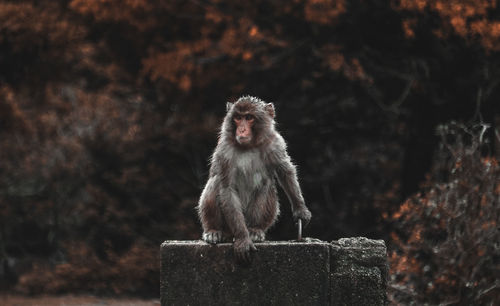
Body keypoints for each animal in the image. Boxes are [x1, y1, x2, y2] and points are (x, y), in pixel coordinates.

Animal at [196, 96, 310, 262]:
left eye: (249, 117)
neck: (248, 146)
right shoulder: (224, 150)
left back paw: (255, 230)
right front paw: (243, 239)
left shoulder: (275, 143)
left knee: (266, 186)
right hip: (229, 225)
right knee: (215, 182)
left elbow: (285, 171)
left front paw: (300, 209)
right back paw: (214, 230)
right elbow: (227, 188)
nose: (242, 130)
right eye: (238, 118)